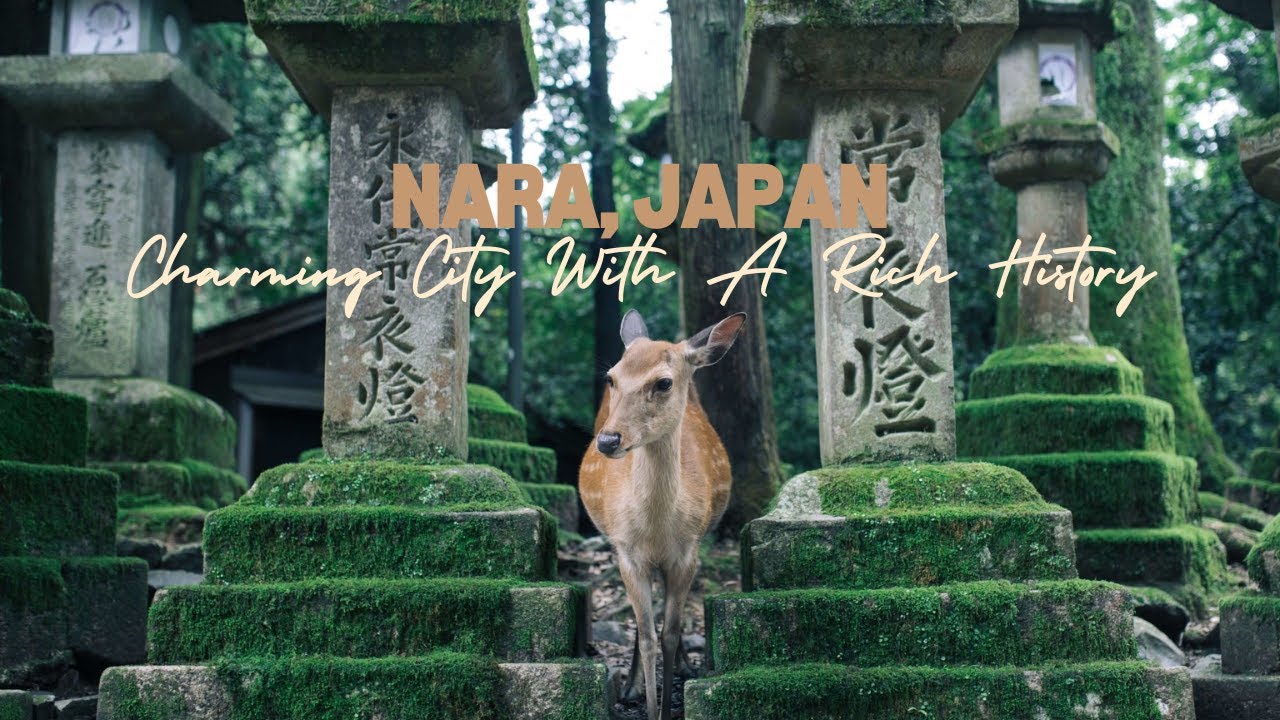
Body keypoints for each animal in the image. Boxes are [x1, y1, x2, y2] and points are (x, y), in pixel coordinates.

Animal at [578, 309, 744, 720]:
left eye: (664, 382)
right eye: (611, 378)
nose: (608, 440)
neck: (655, 529)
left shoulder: (687, 552)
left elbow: (668, 634)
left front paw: (670, 704)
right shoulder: (627, 552)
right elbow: (649, 635)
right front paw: (646, 703)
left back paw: (684, 666)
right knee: (642, 626)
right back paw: (630, 687)